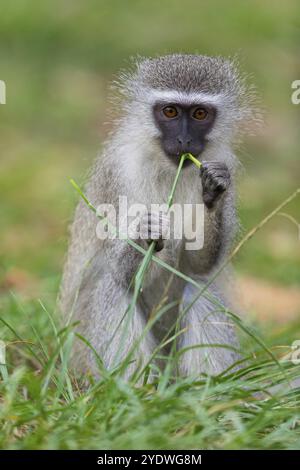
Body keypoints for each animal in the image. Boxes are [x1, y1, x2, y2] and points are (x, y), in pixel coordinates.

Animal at [59, 54, 256, 378]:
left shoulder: (224, 162)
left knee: (199, 286)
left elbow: (199, 264)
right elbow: (123, 272)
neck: (166, 168)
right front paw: (147, 230)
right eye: (170, 111)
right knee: (112, 286)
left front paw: (213, 190)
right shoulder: (120, 172)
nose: (184, 140)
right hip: (81, 355)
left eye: (200, 114)